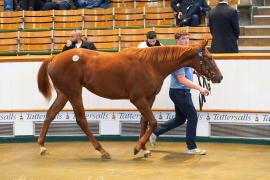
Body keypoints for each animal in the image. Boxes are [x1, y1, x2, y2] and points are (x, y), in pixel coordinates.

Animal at [37, 40, 223, 159]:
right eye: (209, 57)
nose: (219, 77)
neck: (150, 65)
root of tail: (54, 58)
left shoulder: (149, 98)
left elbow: (144, 122)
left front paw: (145, 149)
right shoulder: (137, 99)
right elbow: (153, 122)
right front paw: (137, 147)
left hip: (63, 94)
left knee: (50, 114)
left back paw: (42, 146)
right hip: (74, 92)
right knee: (81, 119)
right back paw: (103, 151)